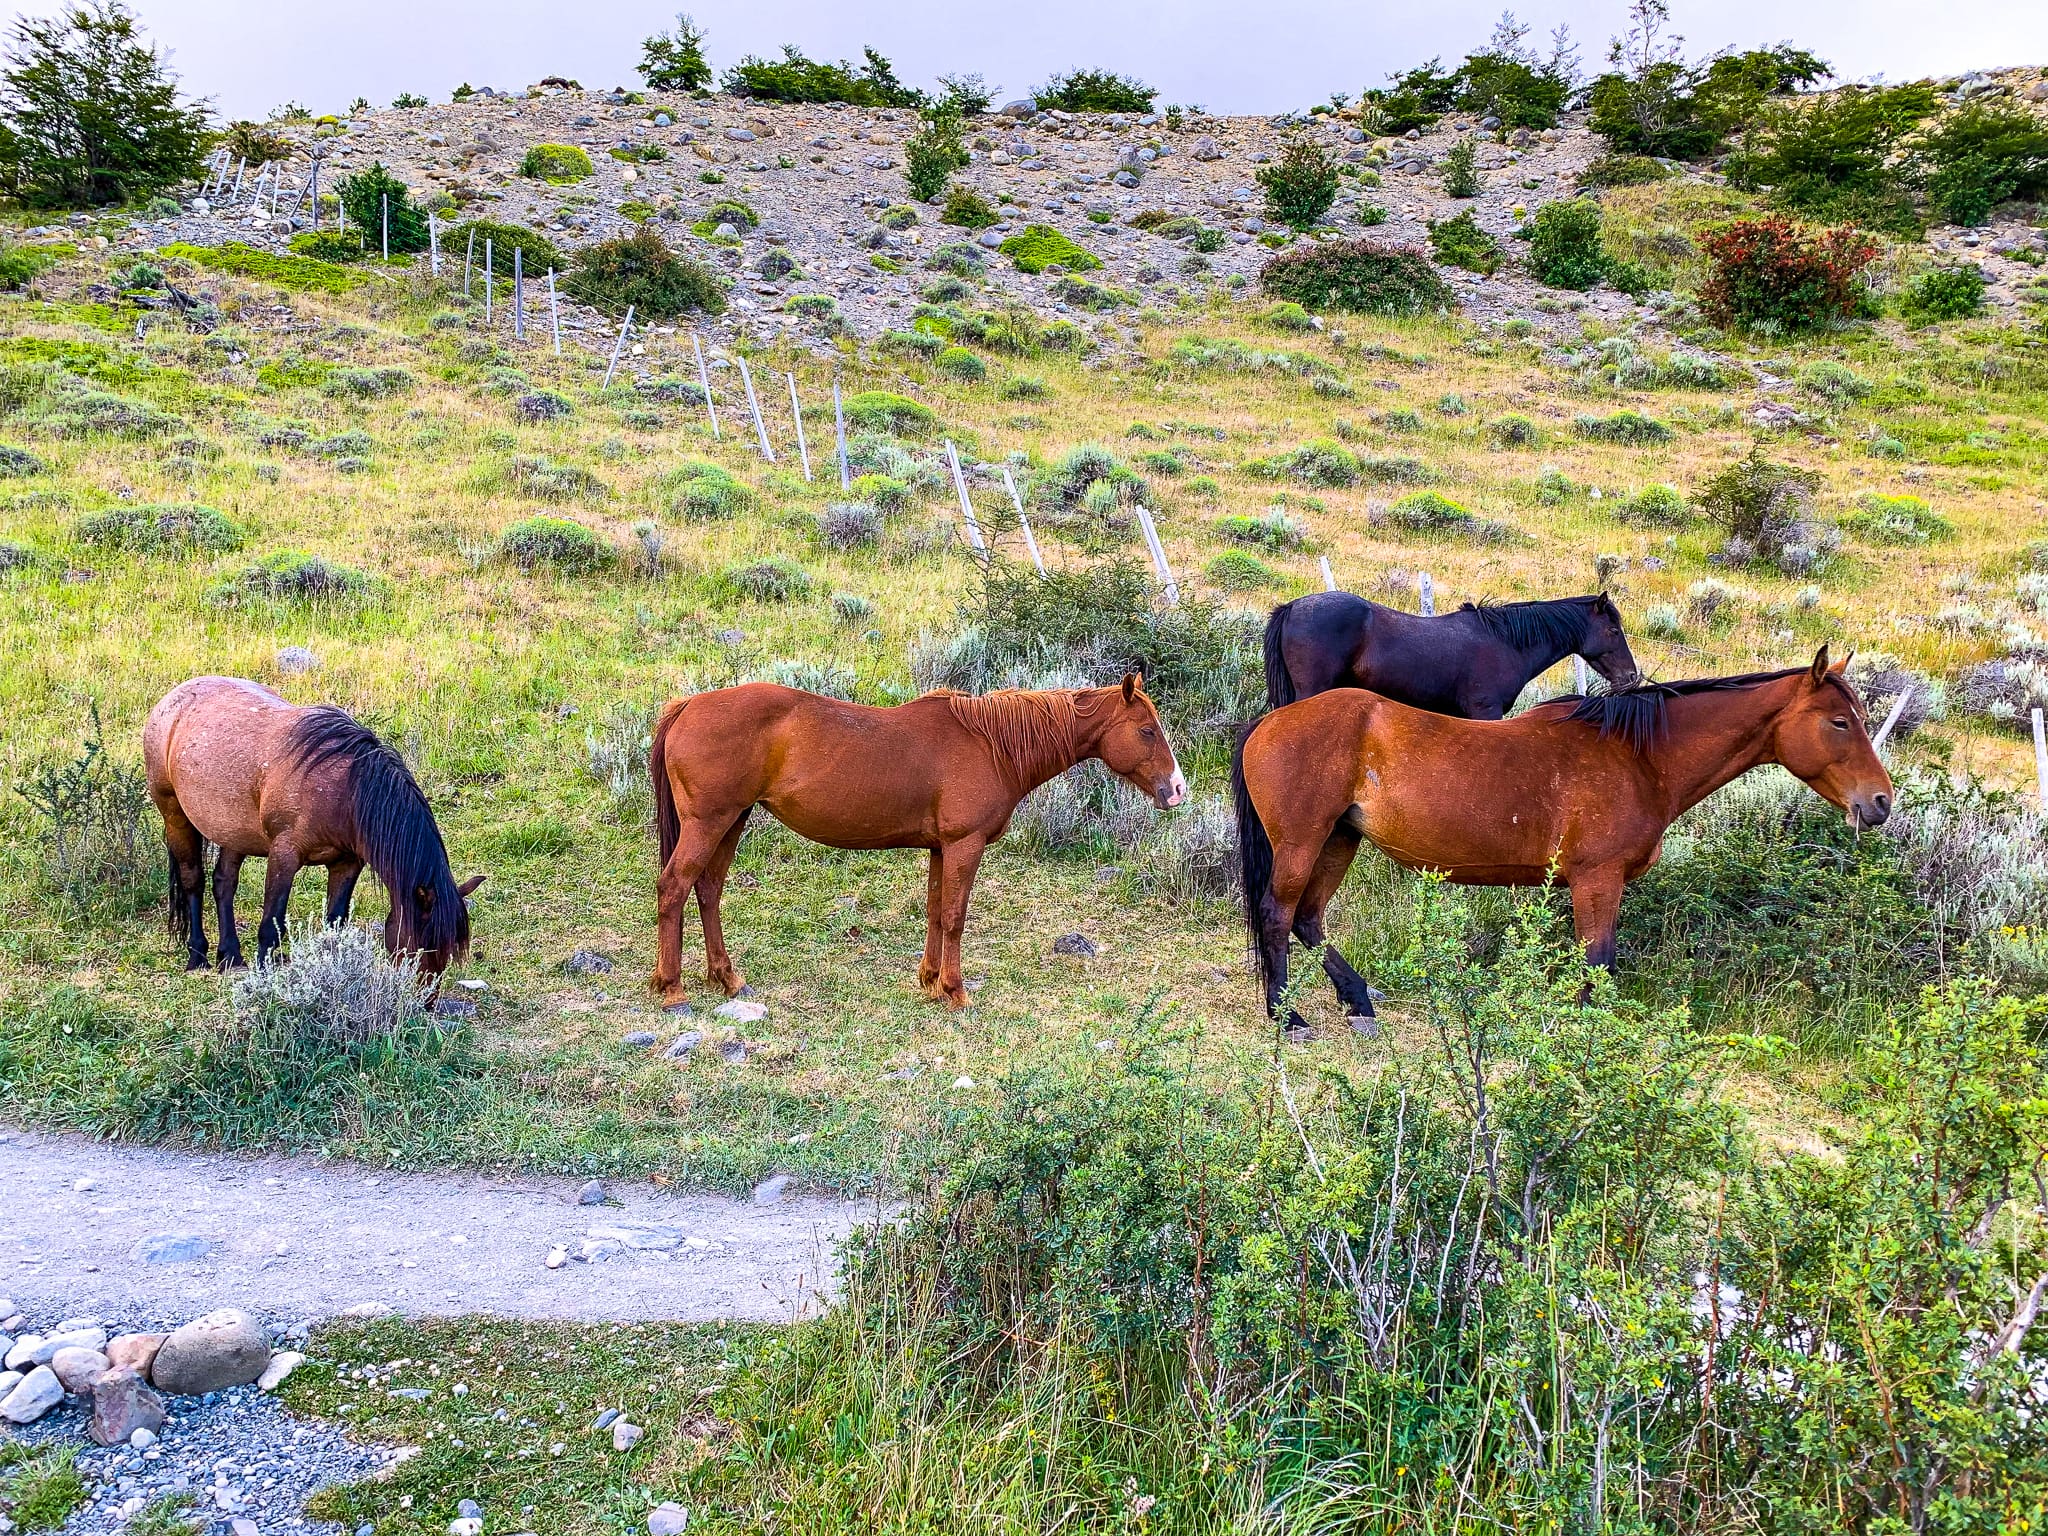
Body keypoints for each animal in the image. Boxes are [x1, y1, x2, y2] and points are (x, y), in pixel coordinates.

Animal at [142, 679, 481, 978]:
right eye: (422, 944)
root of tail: (172, 700)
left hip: (233, 832)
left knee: (224, 883)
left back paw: (231, 956)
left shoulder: (346, 864)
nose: (426, 1001)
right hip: (174, 815)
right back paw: (197, 956)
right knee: (193, 881)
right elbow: (271, 926)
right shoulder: (284, 856)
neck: (347, 790)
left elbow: (334, 925)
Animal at [647, 671, 1196, 1011]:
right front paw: (954, 990)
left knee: (708, 891)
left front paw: (930, 982)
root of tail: (688, 705)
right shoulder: (964, 845)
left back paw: (727, 978)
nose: (1177, 789)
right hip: (709, 823)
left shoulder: (939, 849)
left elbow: (934, 911)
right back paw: (672, 988)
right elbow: (954, 916)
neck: (992, 744)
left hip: (731, 822)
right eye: (1147, 730)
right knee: (674, 888)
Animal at [1228, 651, 1884, 1036]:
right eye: (1839, 721)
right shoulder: (1598, 882)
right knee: (1279, 914)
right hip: (1304, 842)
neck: (1637, 757)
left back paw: (1358, 1000)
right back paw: (1288, 1017)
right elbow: (1598, 965)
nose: (1880, 801)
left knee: (1309, 919)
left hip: (1339, 840)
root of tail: (1269, 722)